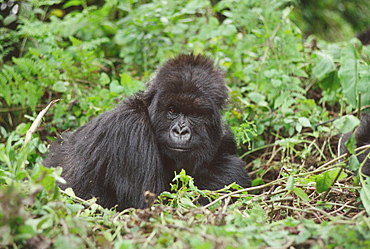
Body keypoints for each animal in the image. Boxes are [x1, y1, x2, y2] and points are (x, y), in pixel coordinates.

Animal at [44, 53, 251, 210]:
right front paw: (230, 172)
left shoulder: (222, 135)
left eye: (194, 114)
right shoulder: (130, 129)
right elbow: (155, 206)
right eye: (172, 111)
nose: (180, 131)